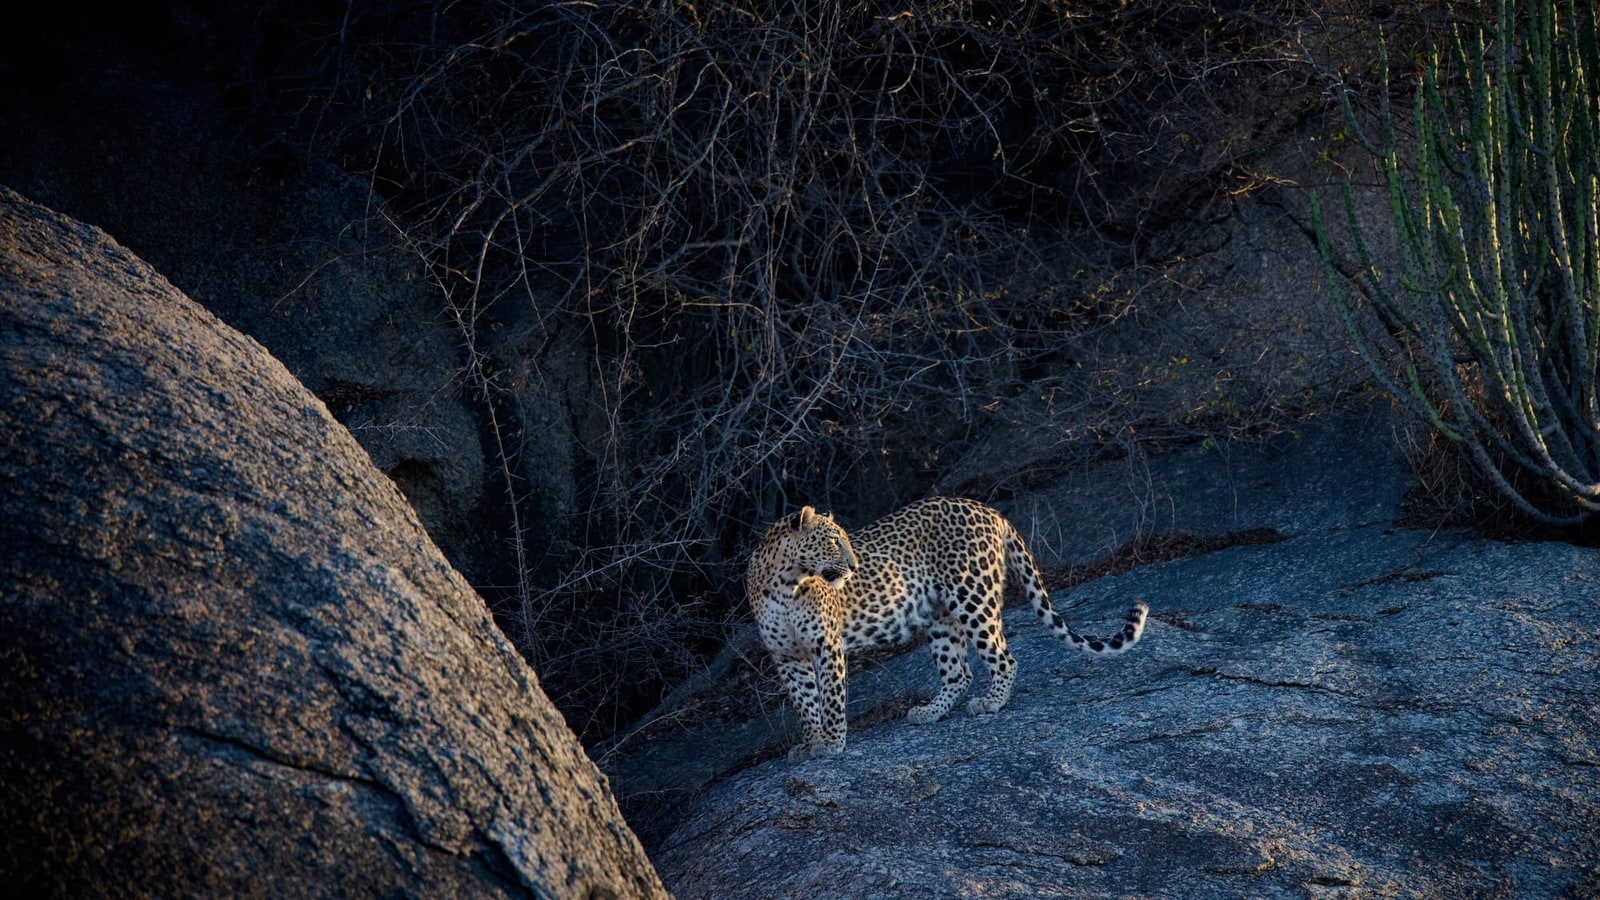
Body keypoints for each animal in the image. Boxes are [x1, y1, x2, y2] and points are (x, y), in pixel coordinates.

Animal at [747, 497, 1148, 762]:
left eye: (845, 539)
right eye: (833, 541)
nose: (854, 565)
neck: (786, 582)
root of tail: (988, 509)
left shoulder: (825, 644)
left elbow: (829, 697)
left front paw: (830, 742)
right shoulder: (787, 657)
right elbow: (804, 703)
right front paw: (810, 742)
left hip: (972, 596)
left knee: (1003, 658)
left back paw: (991, 702)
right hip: (939, 616)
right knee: (959, 672)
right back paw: (929, 712)